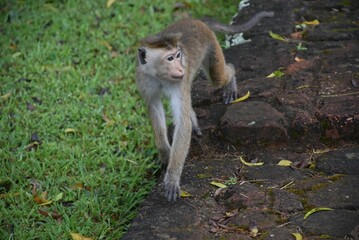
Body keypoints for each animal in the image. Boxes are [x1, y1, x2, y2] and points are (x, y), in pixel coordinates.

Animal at [136, 11, 274, 200]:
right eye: (170, 58)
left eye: (178, 55)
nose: (180, 68)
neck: (160, 76)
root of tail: (195, 20)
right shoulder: (145, 80)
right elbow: (155, 109)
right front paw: (165, 154)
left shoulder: (179, 82)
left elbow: (182, 123)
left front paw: (172, 177)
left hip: (212, 45)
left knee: (218, 76)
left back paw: (230, 81)